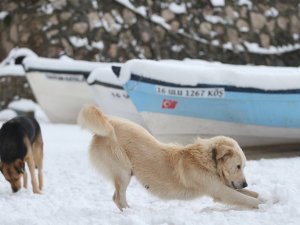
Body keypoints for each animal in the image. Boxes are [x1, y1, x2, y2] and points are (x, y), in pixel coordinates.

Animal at [78, 104, 260, 210]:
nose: (245, 183)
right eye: (238, 166)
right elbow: (248, 200)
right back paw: (131, 213)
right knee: (118, 199)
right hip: (123, 172)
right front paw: (264, 206)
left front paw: (265, 197)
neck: (206, 161)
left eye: (243, 166)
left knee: (116, 198)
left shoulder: (225, 186)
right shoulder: (220, 190)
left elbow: (254, 194)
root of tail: (109, 121)